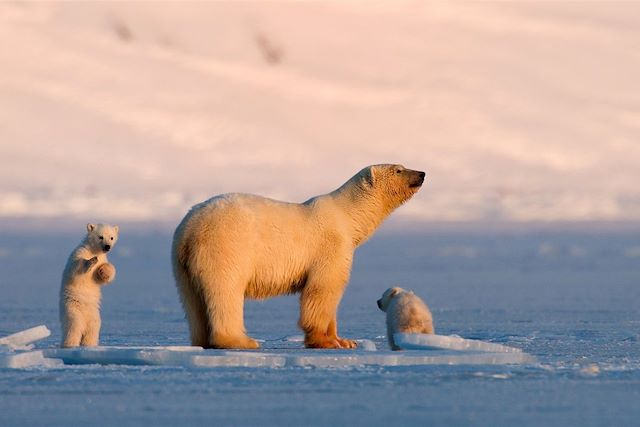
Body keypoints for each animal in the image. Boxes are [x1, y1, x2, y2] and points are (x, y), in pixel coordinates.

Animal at [172, 166, 428, 350]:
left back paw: (202, 341)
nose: (422, 173)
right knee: (226, 290)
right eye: (398, 169)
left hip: (181, 262)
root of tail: (190, 228)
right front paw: (326, 342)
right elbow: (323, 289)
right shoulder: (330, 246)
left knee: (192, 301)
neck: (346, 216)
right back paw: (240, 341)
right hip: (226, 246)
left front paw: (345, 340)